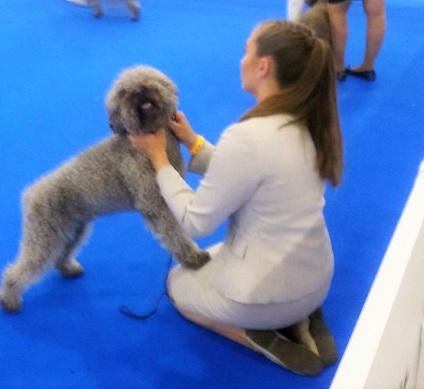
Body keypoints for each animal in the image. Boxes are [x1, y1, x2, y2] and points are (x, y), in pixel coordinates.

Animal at [0, 64, 210, 312]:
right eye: (123, 92)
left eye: (147, 79)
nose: (139, 91)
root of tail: (30, 194)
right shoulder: (155, 205)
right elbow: (174, 234)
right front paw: (193, 258)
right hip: (44, 237)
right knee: (18, 270)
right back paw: (9, 300)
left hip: (72, 230)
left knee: (59, 257)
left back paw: (69, 269)